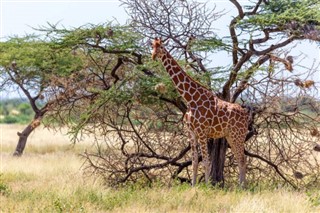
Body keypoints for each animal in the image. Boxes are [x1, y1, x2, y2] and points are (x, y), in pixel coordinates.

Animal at [152, 38, 250, 186]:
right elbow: (194, 162)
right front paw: (193, 186)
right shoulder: (191, 132)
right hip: (230, 136)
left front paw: (207, 186)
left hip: (238, 135)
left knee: (242, 159)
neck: (190, 100)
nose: (153, 56)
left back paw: (242, 186)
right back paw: (240, 185)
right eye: (152, 46)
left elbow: (206, 161)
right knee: (240, 159)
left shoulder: (202, 132)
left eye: (161, 47)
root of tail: (245, 113)